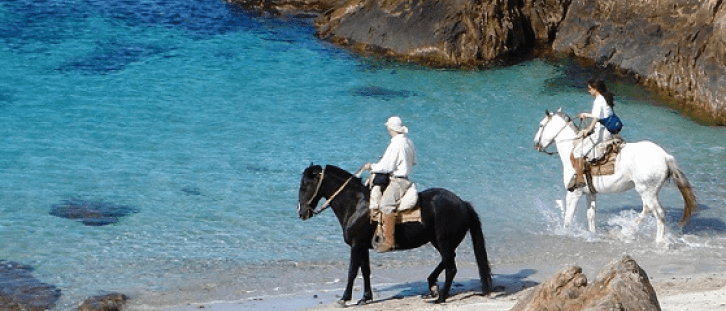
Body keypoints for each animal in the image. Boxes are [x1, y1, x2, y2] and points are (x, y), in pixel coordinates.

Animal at [298, 165, 494, 306]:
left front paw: (345, 298)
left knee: (451, 267)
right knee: (448, 261)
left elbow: (352, 271)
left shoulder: (356, 245)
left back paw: (440, 298)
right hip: (439, 241)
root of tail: (463, 203)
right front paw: (365, 297)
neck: (356, 205)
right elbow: (366, 271)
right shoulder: (363, 247)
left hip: (443, 241)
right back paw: (432, 286)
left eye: (305, 186)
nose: (302, 213)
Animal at [536, 109, 700, 244]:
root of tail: (666, 157)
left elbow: (568, 218)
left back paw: (653, 239)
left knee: (658, 212)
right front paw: (593, 234)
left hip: (646, 190)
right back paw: (630, 231)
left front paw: (565, 233)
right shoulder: (590, 193)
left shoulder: (574, 193)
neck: (571, 152)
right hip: (650, 192)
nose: (536, 144)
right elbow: (591, 216)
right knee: (648, 209)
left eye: (541, 125)